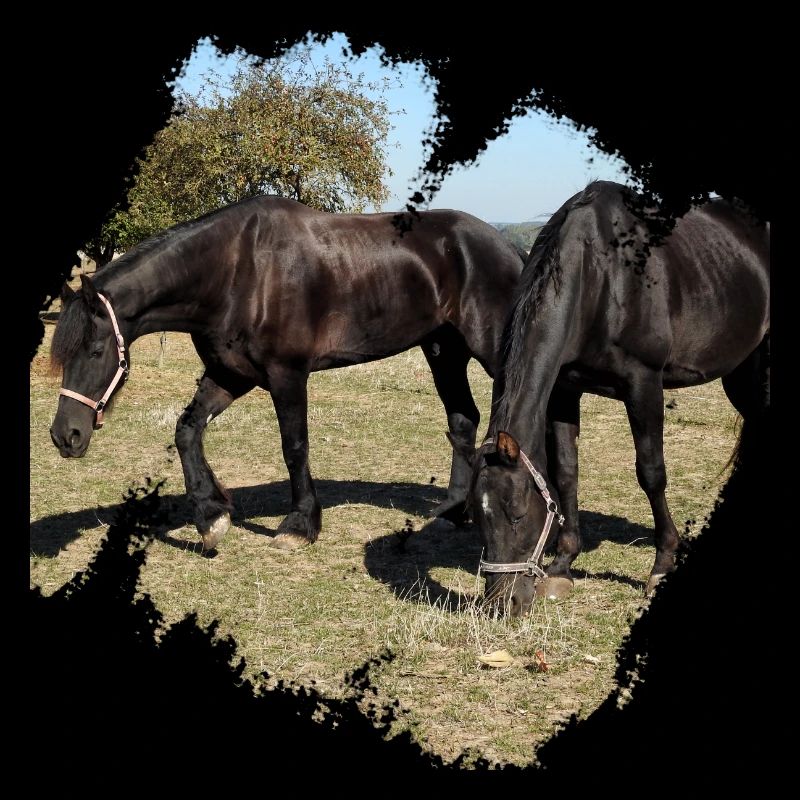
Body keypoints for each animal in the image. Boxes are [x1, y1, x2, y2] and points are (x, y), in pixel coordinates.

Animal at [49, 196, 524, 551]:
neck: (238, 271)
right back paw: (453, 512)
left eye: (95, 350)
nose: (65, 436)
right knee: (462, 420)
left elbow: (294, 447)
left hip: (489, 351)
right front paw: (211, 515)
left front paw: (300, 525)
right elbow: (187, 431)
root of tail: (507, 247)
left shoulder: (287, 375)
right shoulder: (230, 374)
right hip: (443, 351)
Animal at [458, 180, 769, 616]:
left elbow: (651, 473)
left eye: (517, 514)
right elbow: (565, 472)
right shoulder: (565, 389)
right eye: (476, 516)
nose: (504, 604)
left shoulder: (643, 384)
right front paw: (562, 565)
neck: (603, 276)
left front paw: (661, 565)